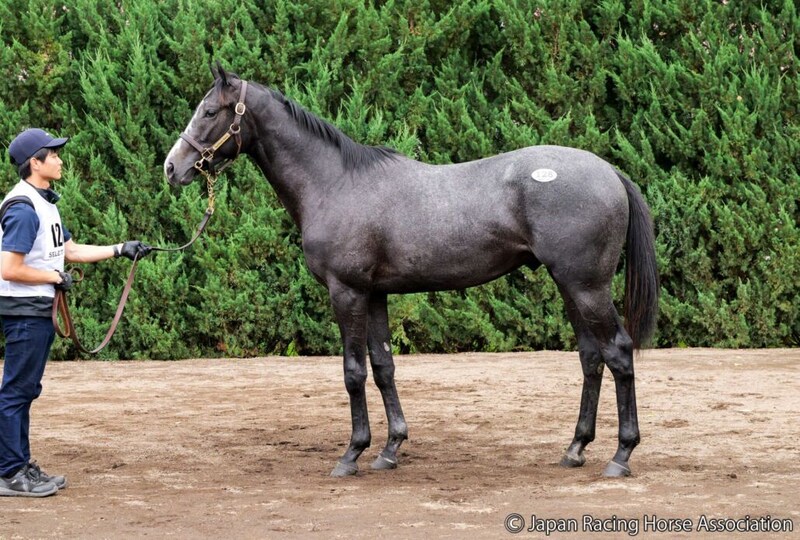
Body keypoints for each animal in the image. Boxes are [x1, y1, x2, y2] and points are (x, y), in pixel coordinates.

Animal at [164, 65, 659, 478]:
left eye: (209, 111)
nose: (172, 167)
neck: (336, 182)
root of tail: (610, 172)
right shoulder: (375, 294)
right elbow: (384, 366)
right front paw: (390, 449)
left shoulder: (347, 292)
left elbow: (353, 371)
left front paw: (352, 454)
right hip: (570, 286)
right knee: (591, 358)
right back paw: (575, 449)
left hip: (586, 286)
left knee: (617, 352)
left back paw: (621, 456)